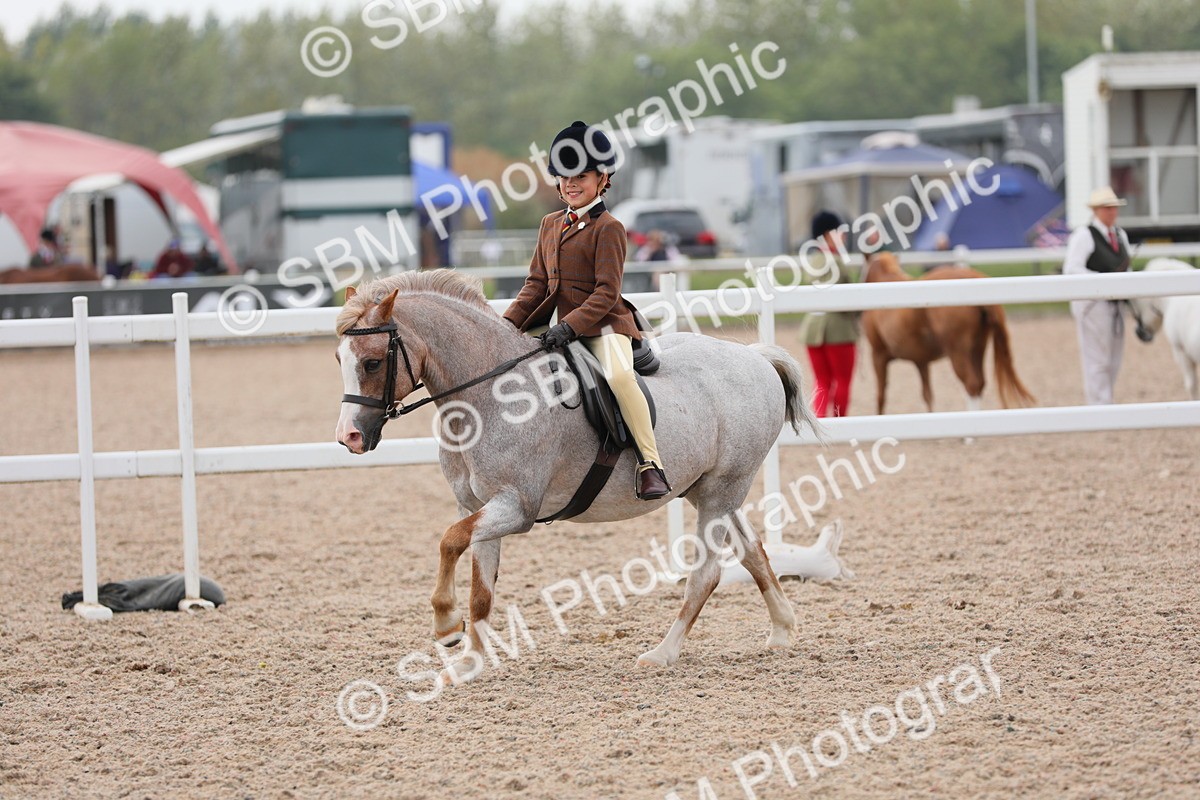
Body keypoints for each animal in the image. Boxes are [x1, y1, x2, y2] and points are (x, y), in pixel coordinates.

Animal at [332, 270, 839, 684]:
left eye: (373, 361)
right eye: (340, 360)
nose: (349, 437)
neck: (489, 396)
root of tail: (754, 357)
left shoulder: (515, 507)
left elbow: (449, 540)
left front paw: (444, 627)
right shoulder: (477, 506)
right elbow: (480, 590)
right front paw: (468, 663)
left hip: (720, 491)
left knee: (707, 573)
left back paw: (662, 653)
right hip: (707, 491)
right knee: (752, 549)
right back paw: (781, 630)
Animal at [861, 252, 1036, 414]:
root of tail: (972, 277)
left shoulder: (878, 355)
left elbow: (881, 396)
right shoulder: (921, 361)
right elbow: (927, 395)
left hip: (958, 352)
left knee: (971, 384)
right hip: (978, 348)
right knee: (979, 383)